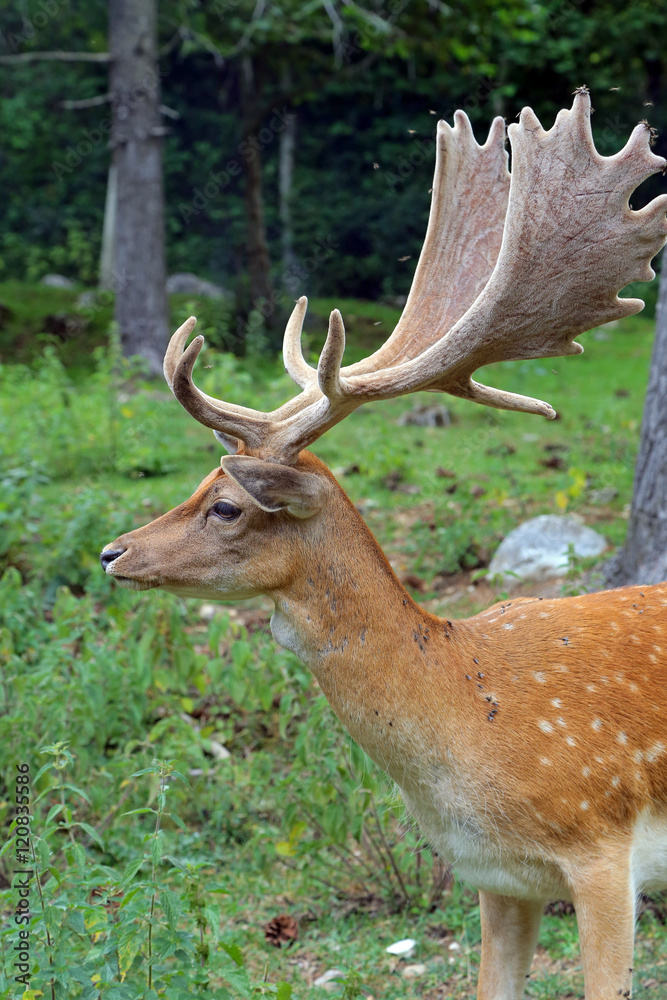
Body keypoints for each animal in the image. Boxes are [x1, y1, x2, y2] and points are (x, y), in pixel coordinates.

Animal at [101, 90, 667, 999]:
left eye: (226, 505)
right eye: (196, 484)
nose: (113, 553)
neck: (466, 716)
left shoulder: (602, 854)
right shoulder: (497, 877)